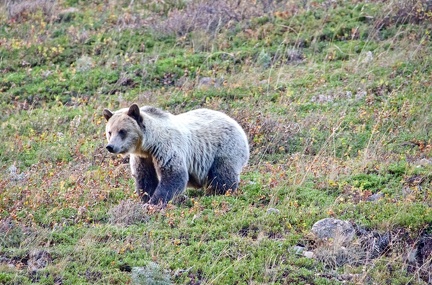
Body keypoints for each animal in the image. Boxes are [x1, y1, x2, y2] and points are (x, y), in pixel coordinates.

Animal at [103, 103, 250, 204]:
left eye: (122, 131)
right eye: (110, 132)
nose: (110, 147)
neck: (148, 144)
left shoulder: (166, 148)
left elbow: (173, 175)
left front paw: (155, 202)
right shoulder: (143, 157)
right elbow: (145, 178)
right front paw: (146, 198)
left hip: (224, 148)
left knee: (223, 175)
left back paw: (218, 192)